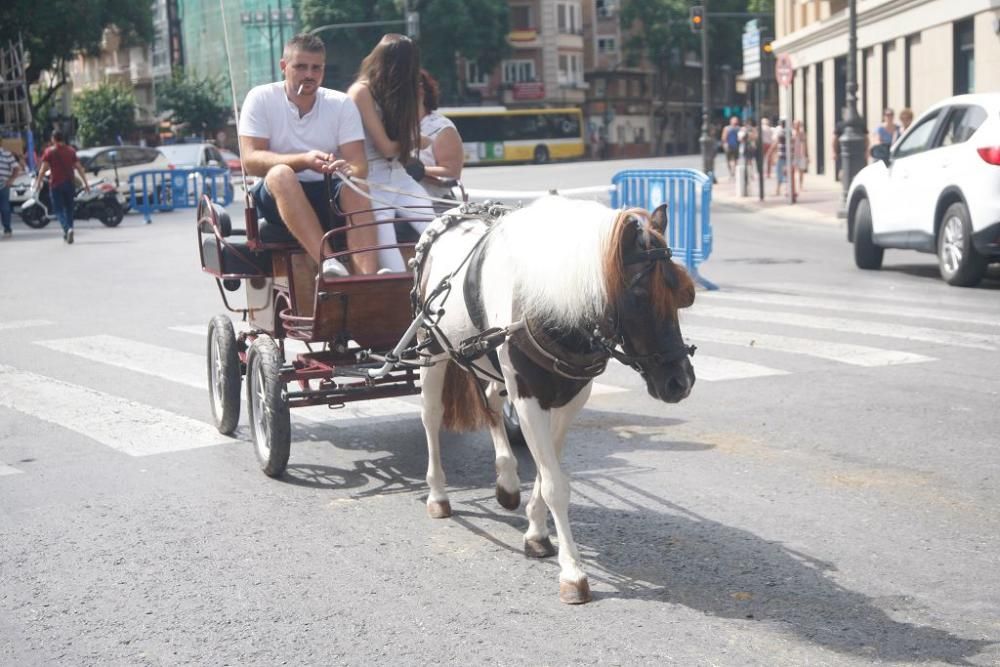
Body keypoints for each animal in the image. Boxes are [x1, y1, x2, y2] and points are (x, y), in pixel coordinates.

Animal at [414, 194, 696, 604]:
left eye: (680, 293)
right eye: (640, 295)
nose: (681, 382)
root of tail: (449, 215)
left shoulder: (571, 396)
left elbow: (549, 472)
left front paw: (536, 531)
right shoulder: (528, 397)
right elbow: (554, 485)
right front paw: (573, 572)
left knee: (491, 399)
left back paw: (506, 481)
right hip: (432, 347)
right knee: (431, 416)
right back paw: (437, 493)